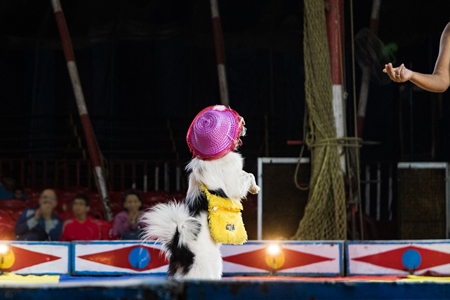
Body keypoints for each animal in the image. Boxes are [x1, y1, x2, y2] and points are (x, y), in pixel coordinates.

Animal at [141, 105, 260, 278]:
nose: (243, 124)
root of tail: (179, 246)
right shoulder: (233, 185)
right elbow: (248, 175)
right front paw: (255, 188)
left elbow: (246, 174)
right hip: (213, 265)